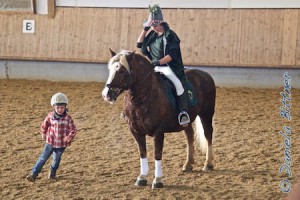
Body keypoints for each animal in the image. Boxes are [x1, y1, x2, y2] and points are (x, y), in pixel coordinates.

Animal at [101, 49, 216, 188]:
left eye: (122, 70)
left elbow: (157, 154)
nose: (106, 94)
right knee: (189, 136)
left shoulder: (158, 131)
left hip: (206, 113)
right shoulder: (135, 131)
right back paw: (188, 164)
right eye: (110, 69)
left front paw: (157, 180)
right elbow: (142, 153)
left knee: (208, 134)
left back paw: (208, 164)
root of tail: (205, 74)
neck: (143, 98)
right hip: (187, 121)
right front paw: (142, 177)